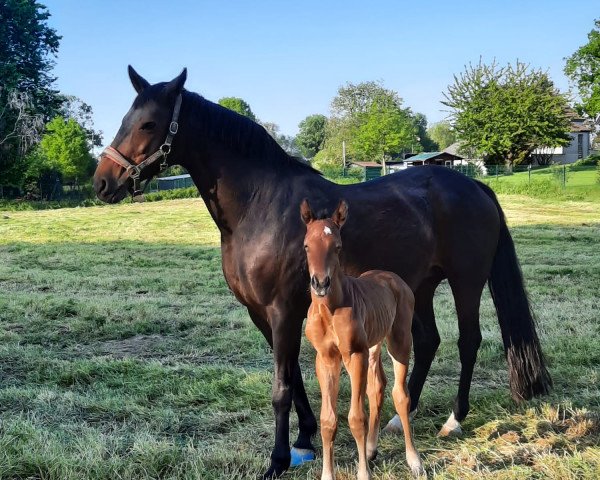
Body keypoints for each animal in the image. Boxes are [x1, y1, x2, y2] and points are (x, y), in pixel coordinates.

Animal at [300, 197, 422, 478]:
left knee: (401, 396)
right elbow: (328, 420)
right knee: (377, 387)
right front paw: (327, 474)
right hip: (374, 344)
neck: (330, 310)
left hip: (398, 342)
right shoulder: (326, 358)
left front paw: (363, 473)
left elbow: (357, 418)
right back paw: (370, 449)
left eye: (337, 247)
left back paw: (414, 460)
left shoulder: (355, 354)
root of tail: (392, 277)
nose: (320, 284)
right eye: (306, 246)